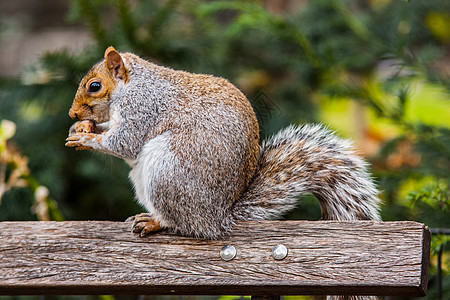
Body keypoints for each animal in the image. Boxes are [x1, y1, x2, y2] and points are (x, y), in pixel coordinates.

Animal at [66, 47, 380, 239]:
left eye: (95, 86)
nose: (72, 113)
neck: (133, 85)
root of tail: (218, 217)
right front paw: (82, 127)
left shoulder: (143, 109)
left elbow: (125, 143)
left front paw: (86, 137)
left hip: (166, 172)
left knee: (184, 224)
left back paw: (156, 221)